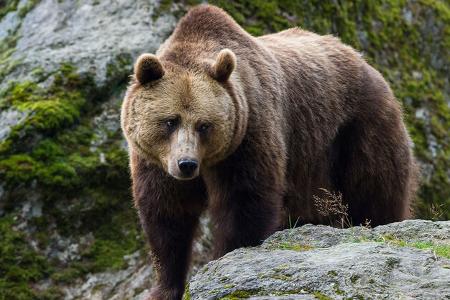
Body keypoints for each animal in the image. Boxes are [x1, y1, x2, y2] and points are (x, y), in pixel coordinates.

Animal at [119, 4, 418, 300]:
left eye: (204, 125)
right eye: (170, 121)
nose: (187, 164)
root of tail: (362, 59)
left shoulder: (249, 133)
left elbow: (245, 201)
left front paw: (227, 257)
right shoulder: (155, 162)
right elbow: (167, 216)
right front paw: (165, 287)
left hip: (356, 129)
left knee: (375, 189)